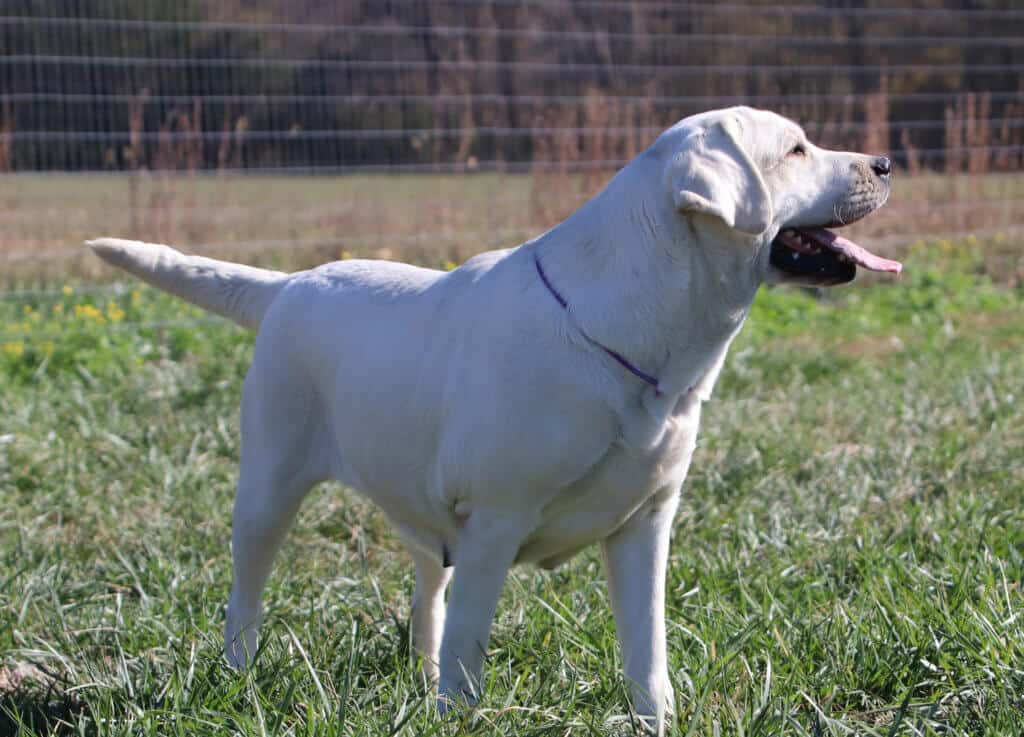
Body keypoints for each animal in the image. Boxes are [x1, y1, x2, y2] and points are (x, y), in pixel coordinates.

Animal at [90, 106, 905, 732]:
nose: (887, 161)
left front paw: (657, 718)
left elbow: (649, 659)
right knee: (247, 596)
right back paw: (239, 674)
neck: (628, 332)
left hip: (413, 500)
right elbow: (471, 665)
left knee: (427, 588)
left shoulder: (645, 524)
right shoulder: (494, 525)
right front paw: (454, 712)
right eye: (795, 150)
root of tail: (290, 283)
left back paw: (416, 671)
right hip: (267, 487)